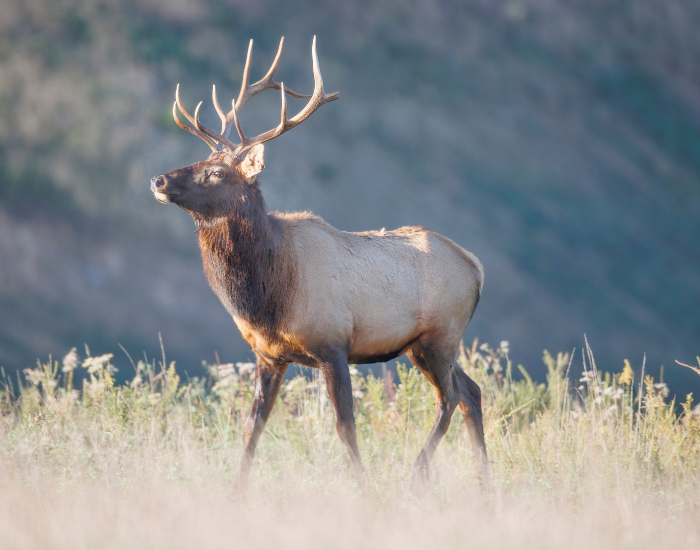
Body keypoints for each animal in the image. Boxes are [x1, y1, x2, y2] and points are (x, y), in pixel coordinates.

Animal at [150, 36, 488, 492]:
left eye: (217, 172)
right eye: (198, 161)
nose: (159, 180)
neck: (268, 293)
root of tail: (476, 267)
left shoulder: (333, 345)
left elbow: (346, 427)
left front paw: (363, 489)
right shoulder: (269, 355)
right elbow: (252, 426)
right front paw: (235, 491)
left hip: (441, 335)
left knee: (449, 398)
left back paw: (417, 474)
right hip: (424, 345)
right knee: (472, 392)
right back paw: (484, 480)